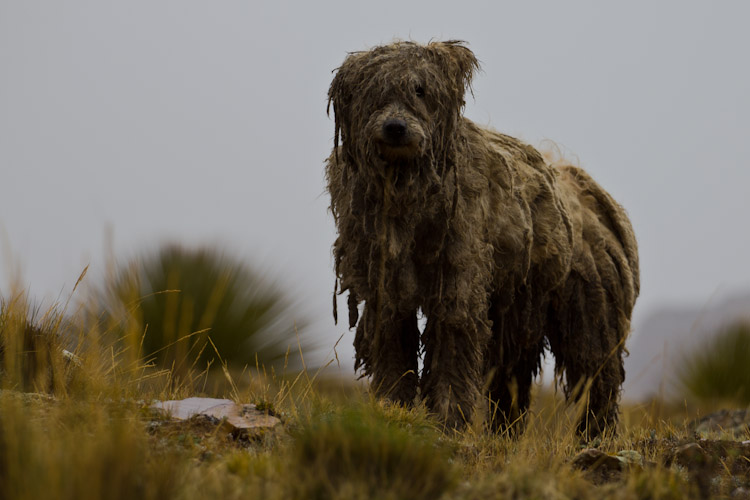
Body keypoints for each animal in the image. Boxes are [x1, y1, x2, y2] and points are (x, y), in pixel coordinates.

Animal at [328, 40, 640, 438]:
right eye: (374, 93)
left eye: (420, 90)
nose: (395, 127)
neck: (409, 194)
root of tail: (591, 194)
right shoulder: (387, 290)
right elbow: (393, 352)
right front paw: (391, 408)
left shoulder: (459, 284)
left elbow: (452, 354)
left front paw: (447, 420)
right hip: (519, 314)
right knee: (512, 382)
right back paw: (504, 435)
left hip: (590, 311)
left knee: (597, 377)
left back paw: (593, 436)